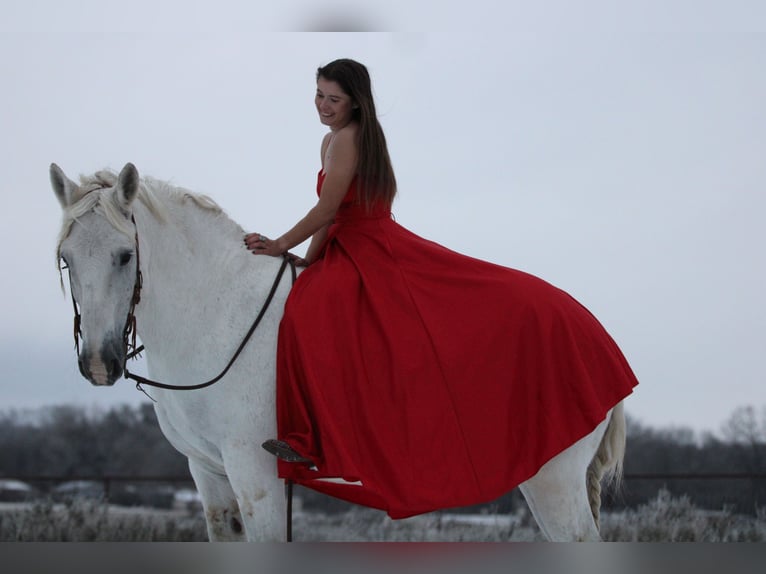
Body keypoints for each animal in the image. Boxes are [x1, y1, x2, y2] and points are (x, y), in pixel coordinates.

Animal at [48, 163, 624, 544]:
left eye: (125, 255)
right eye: (66, 258)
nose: (99, 363)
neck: (216, 309)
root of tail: (597, 334)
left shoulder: (255, 475)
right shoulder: (209, 476)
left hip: (553, 483)